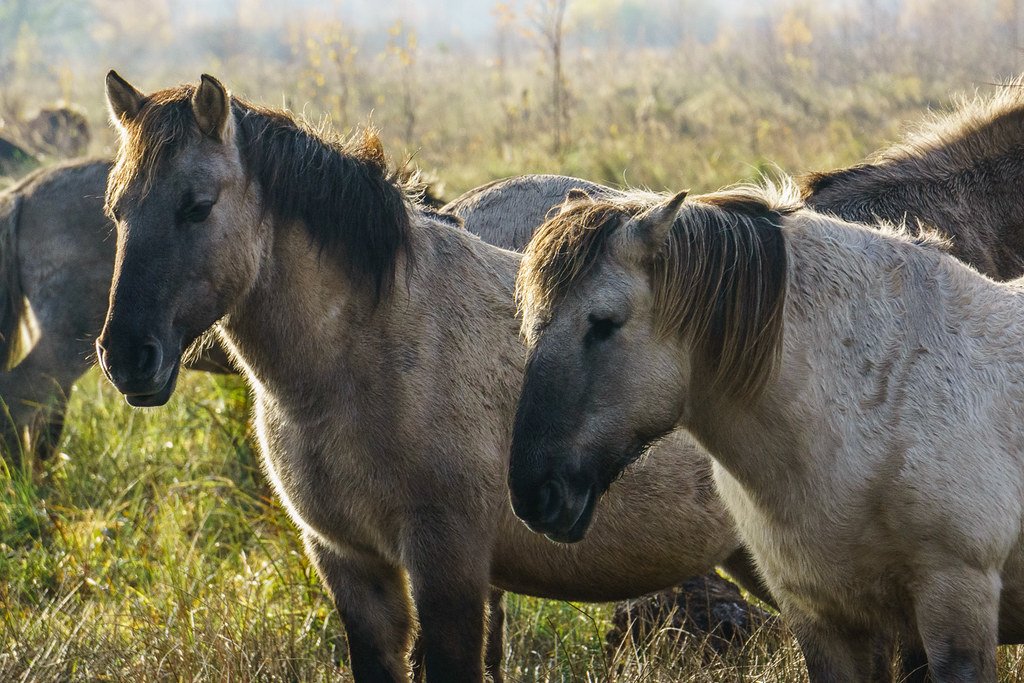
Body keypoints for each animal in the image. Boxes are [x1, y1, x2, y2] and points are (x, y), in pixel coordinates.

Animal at [94, 71, 770, 682]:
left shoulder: (449, 568)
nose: (127, 356)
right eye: (117, 210)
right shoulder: (350, 563)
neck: (363, 358)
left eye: (196, 207)